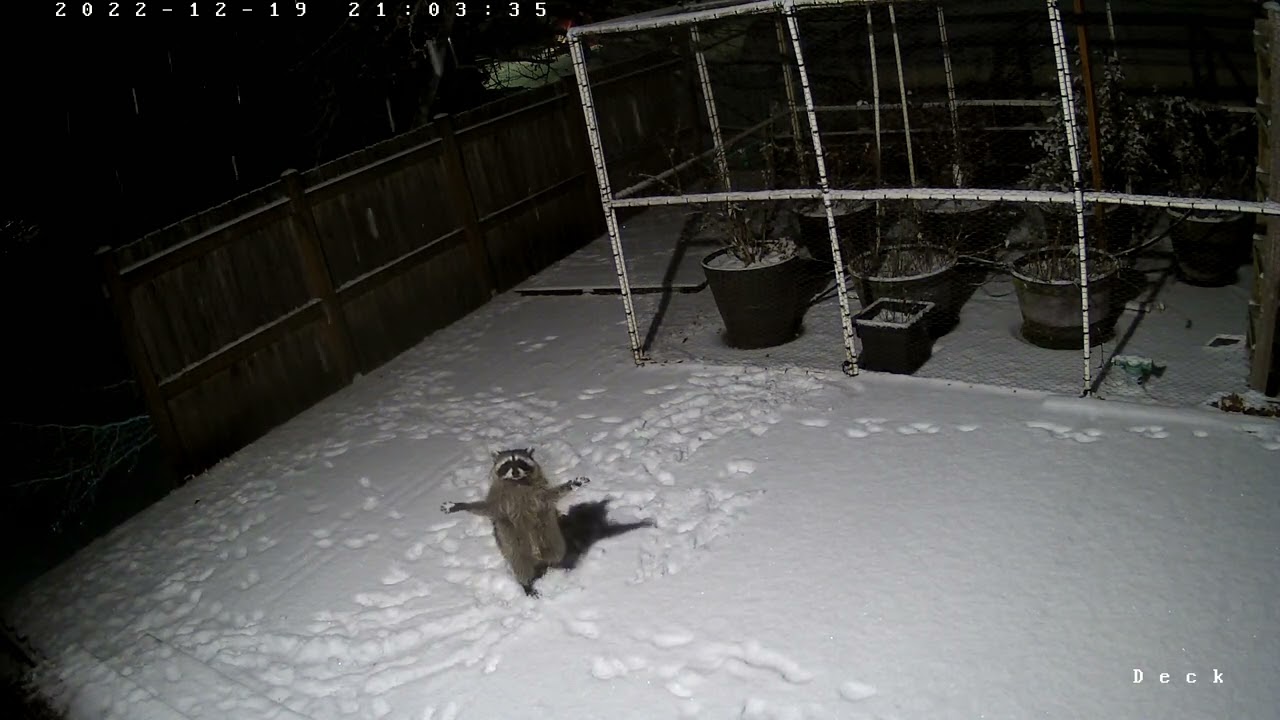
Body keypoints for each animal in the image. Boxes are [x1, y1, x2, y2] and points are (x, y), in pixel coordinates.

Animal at [440, 448, 589, 597]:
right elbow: (484, 508)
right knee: (520, 564)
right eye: (507, 464)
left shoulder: (539, 493)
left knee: (557, 552)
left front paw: (571, 485)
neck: (516, 482)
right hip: (515, 545)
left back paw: (561, 564)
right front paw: (459, 505)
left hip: (551, 536)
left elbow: (553, 494)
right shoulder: (498, 500)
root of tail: (539, 559)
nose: (515, 472)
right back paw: (527, 584)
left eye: (520, 462)